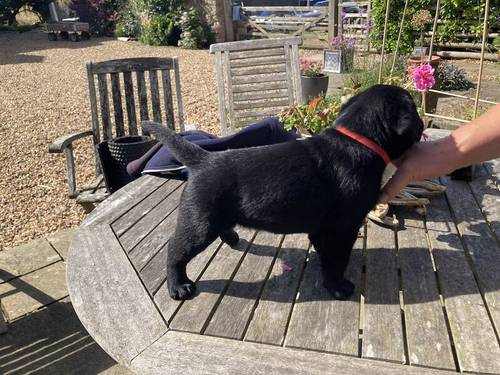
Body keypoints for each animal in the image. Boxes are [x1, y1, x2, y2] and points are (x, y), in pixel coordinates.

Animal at [143, 86, 424, 302]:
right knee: (175, 249)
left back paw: (232, 237)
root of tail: (203, 159)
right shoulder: (343, 226)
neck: (359, 140)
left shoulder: (325, 228)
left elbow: (325, 251)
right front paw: (338, 286)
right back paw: (178, 286)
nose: (422, 124)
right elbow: (337, 259)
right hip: (200, 222)